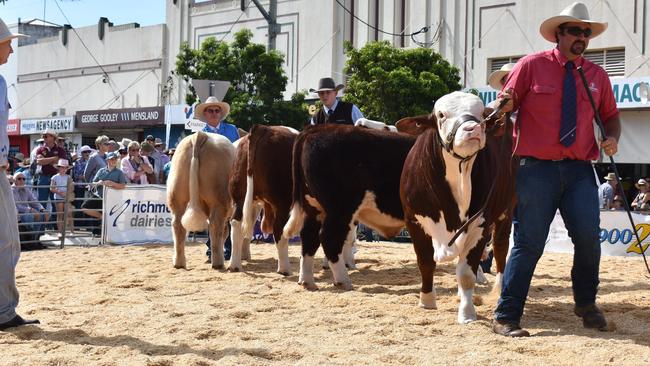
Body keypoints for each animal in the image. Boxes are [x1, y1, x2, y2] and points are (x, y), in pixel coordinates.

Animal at [167, 131, 235, 268]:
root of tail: (200, 134)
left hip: (177, 196)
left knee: (178, 224)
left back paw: (179, 262)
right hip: (219, 199)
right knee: (216, 225)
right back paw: (218, 263)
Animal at [398, 91, 512, 324]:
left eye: (482, 114)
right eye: (441, 115)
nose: (473, 129)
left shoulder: (480, 224)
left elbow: (466, 273)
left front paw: (467, 313)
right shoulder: (413, 220)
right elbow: (425, 262)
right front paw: (427, 300)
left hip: (507, 212)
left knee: (500, 249)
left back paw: (498, 288)